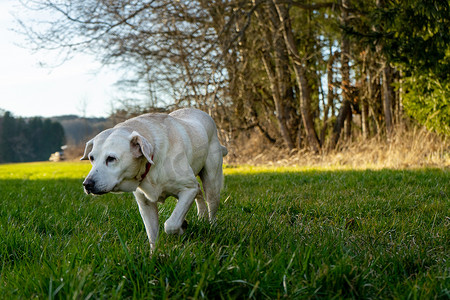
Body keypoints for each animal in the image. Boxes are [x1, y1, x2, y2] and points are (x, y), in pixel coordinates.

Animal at [81, 109, 227, 250]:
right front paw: (154, 254)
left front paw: (181, 227)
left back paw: (211, 226)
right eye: (91, 158)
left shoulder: (188, 189)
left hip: (212, 182)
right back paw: (202, 217)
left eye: (111, 158)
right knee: (199, 193)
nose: (87, 184)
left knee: (210, 204)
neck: (152, 162)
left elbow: (171, 224)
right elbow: (152, 234)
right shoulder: (145, 203)